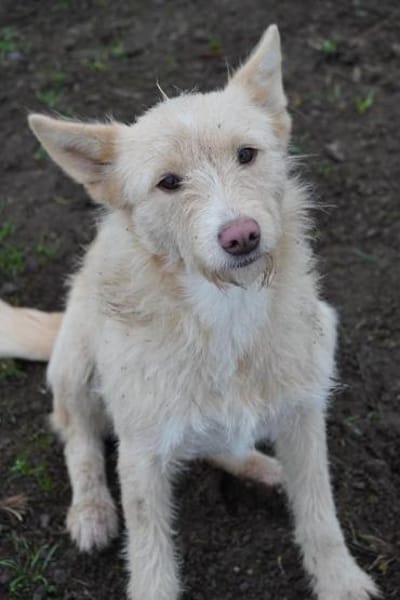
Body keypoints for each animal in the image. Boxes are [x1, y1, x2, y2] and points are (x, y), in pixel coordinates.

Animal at [0, 25, 378, 600]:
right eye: (169, 183)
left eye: (247, 154)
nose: (241, 235)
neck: (226, 310)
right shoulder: (139, 455)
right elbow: (150, 555)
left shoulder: (303, 413)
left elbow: (319, 512)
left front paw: (340, 579)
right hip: (77, 359)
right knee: (76, 434)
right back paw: (91, 510)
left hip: (325, 328)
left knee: (216, 443)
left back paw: (262, 467)